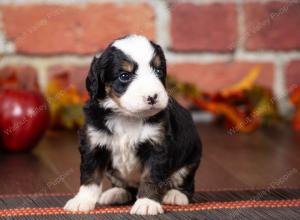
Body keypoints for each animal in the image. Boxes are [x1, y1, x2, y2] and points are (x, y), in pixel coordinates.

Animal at [64, 34, 203, 215]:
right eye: (125, 76)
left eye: (158, 71)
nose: (152, 97)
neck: (127, 116)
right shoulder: (93, 143)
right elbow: (90, 175)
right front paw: (82, 201)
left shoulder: (158, 145)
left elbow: (151, 177)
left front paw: (147, 203)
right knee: (126, 187)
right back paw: (116, 193)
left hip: (190, 159)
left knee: (185, 182)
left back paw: (175, 195)